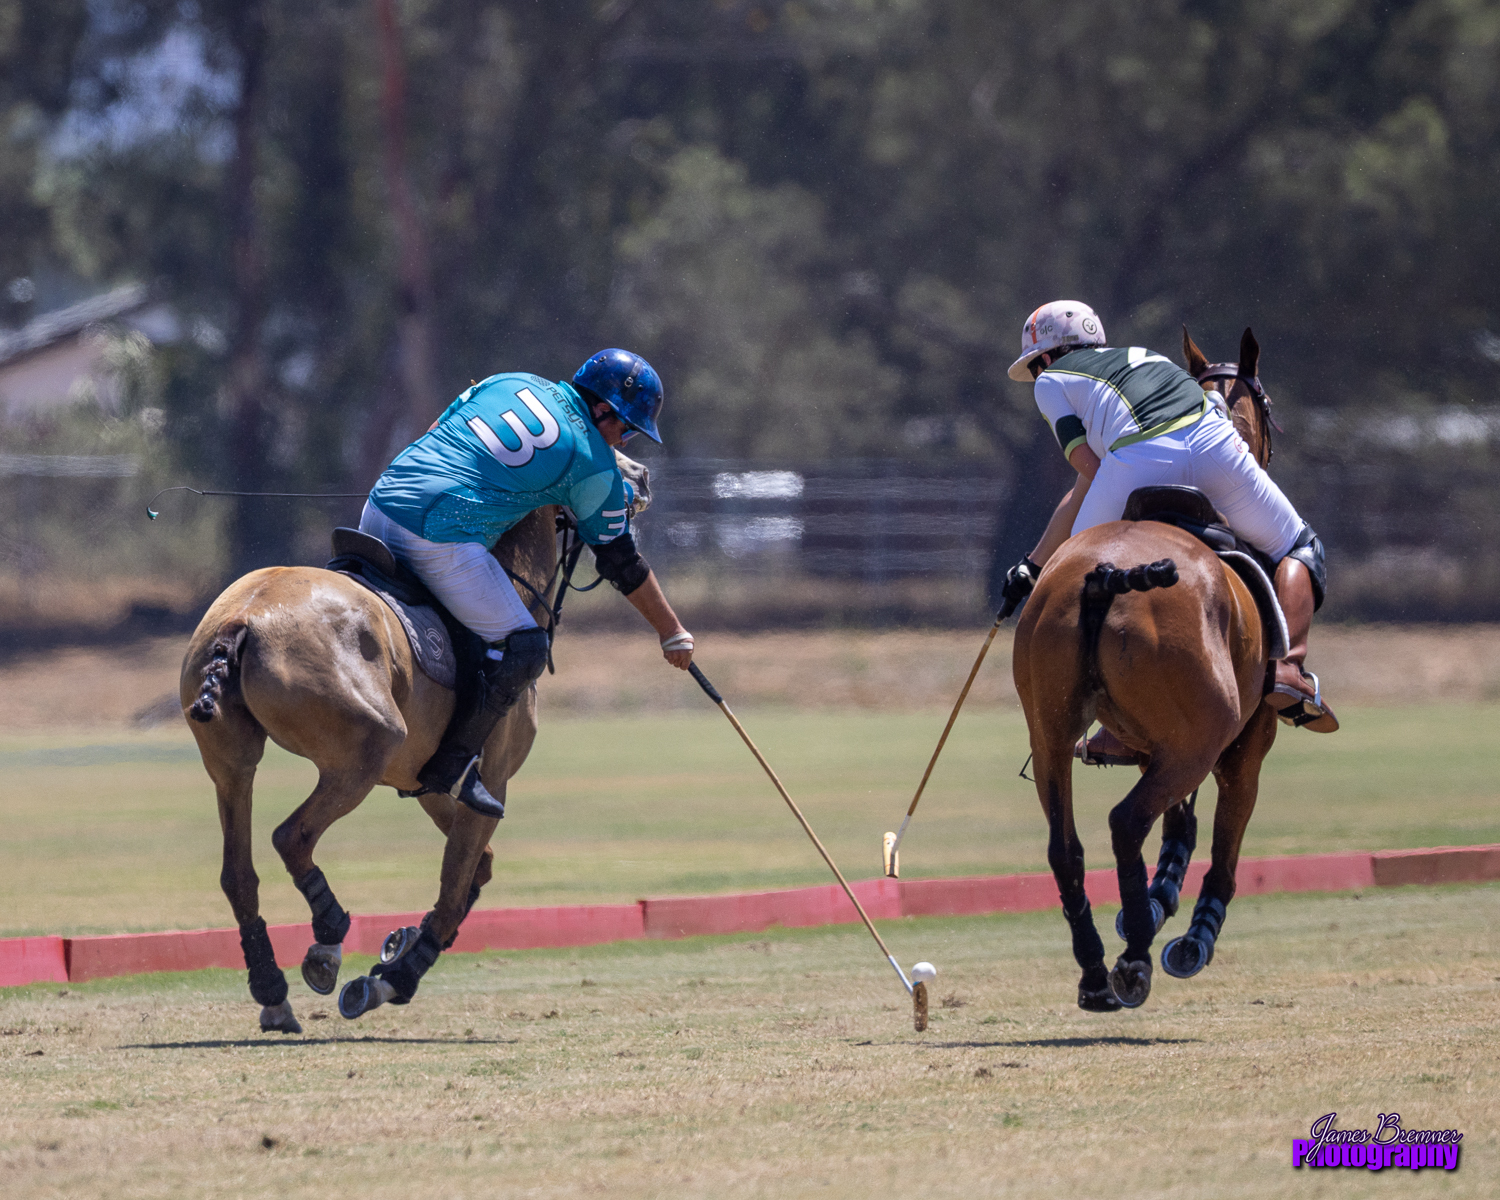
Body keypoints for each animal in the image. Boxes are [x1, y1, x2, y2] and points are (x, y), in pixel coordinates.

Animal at [180, 506, 562, 1033]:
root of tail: (244, 618)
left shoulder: (427, 781)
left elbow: (476, 869)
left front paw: (403, 947)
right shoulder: (493, 781)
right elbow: (455, 884)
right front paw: (396, 976)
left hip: (231, 762)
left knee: (238, 871)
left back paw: (273, 991)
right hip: (369, 746)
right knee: (291, 835)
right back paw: (328, 941)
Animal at [1011, 327, 1285, 1011]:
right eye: (1268, 405)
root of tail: (1109, 574)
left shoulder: (1143, 741)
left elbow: (1181, 821)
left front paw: (1161, 898)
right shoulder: (1248, 739)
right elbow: (1223, 842)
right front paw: (1190, 935)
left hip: (1051, 728)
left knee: (1066, 846)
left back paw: (1094, 972)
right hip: (1204, 733)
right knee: (1126, 821)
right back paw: (1133, 958)